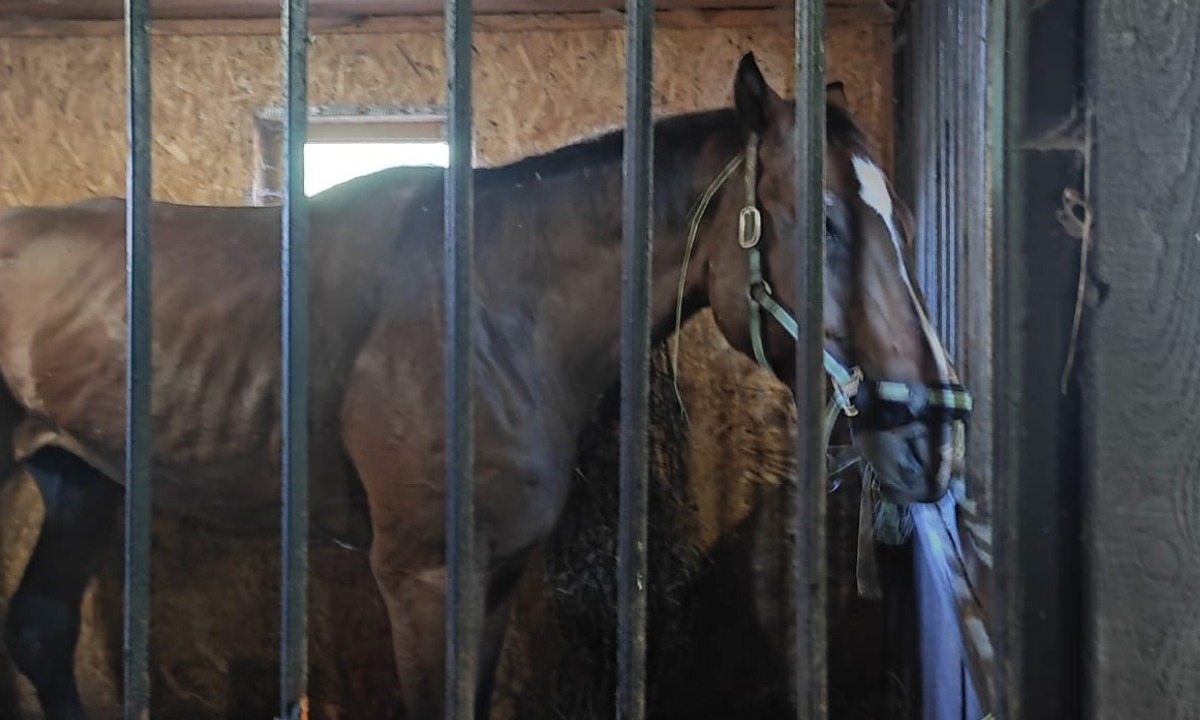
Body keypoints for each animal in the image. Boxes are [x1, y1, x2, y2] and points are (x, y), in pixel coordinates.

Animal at [0, 51, 964, 720]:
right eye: (827, 224)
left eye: (910, 223)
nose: (932, 436)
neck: (496, 308)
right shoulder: (425, 579)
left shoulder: (493, 578)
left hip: (82, 480)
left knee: (40, 628)